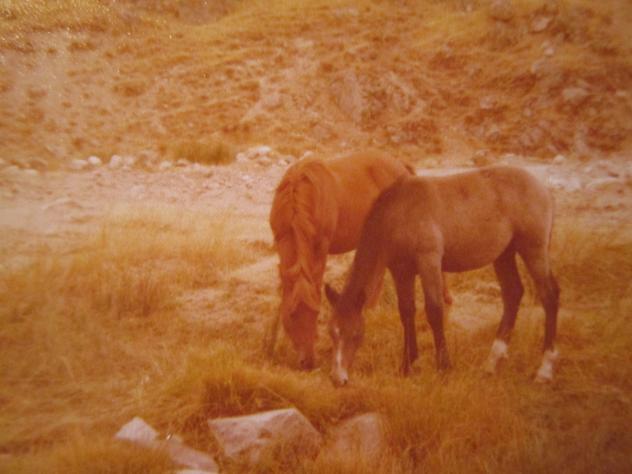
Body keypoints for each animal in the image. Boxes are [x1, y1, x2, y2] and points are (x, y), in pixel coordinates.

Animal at [268, 150, 452, 370]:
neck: (300, 197)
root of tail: (400, 165)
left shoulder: (321, 248)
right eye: (292, 314)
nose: (308, 362)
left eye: (315, 314)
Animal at [325, 165, 560, 385]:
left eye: (355, 334)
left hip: (533, 250)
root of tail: (543, 189)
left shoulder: (429, 261)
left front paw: (443, 367)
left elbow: (434, 311)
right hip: (504, 254)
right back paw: (492, 362)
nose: (338, 379)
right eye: (331, 333)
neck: (399, 212)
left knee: (549, 295)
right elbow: (406, 312)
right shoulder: (401, 271)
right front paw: (407, 365)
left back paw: (545, 369)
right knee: (512, 293)